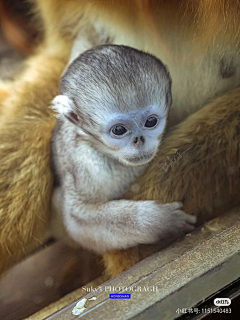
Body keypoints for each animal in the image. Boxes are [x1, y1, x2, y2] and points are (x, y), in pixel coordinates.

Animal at [50, 44, 195, 252]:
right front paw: (161, 222)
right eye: (119, 130)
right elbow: (77, 218)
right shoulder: (87, 163)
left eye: (150, 122)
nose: (139, 140)